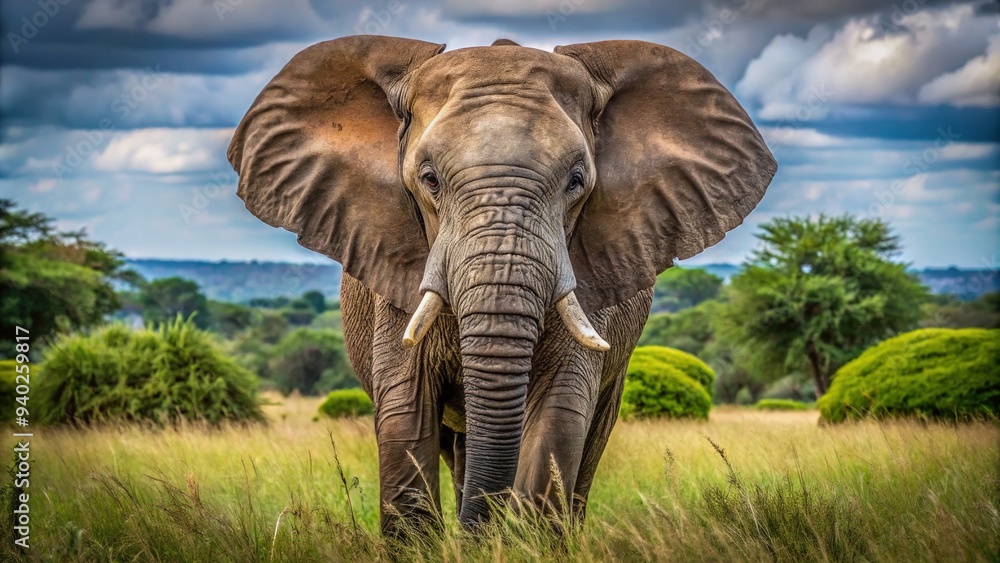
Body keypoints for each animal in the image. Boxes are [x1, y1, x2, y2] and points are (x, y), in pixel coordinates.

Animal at [227, 35, 776, 535]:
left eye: (576, 180)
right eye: (429, 179)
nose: (478, 529)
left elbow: (557, 418)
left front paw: (516, 535)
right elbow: (407, 410)